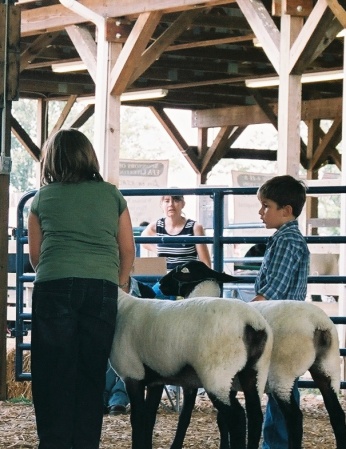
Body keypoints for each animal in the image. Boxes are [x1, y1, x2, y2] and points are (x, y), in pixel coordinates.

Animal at [110, 288, 274, 448]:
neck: (122, 306)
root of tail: (252, 323)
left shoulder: (132, 374)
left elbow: (138, 419)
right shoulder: (155, 380)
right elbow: (149, 418)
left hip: (218, 375)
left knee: (237, 417)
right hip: (256, 371)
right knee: (255, 416)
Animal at [159, 260, 346, 448]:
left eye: (183, 270)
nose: (160, 283)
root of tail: (318, 324)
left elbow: (186, 416)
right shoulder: (231, 381)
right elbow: (223, 419)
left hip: (283, 374)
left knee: (294, 417)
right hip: (326, 368)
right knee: (337, 414)